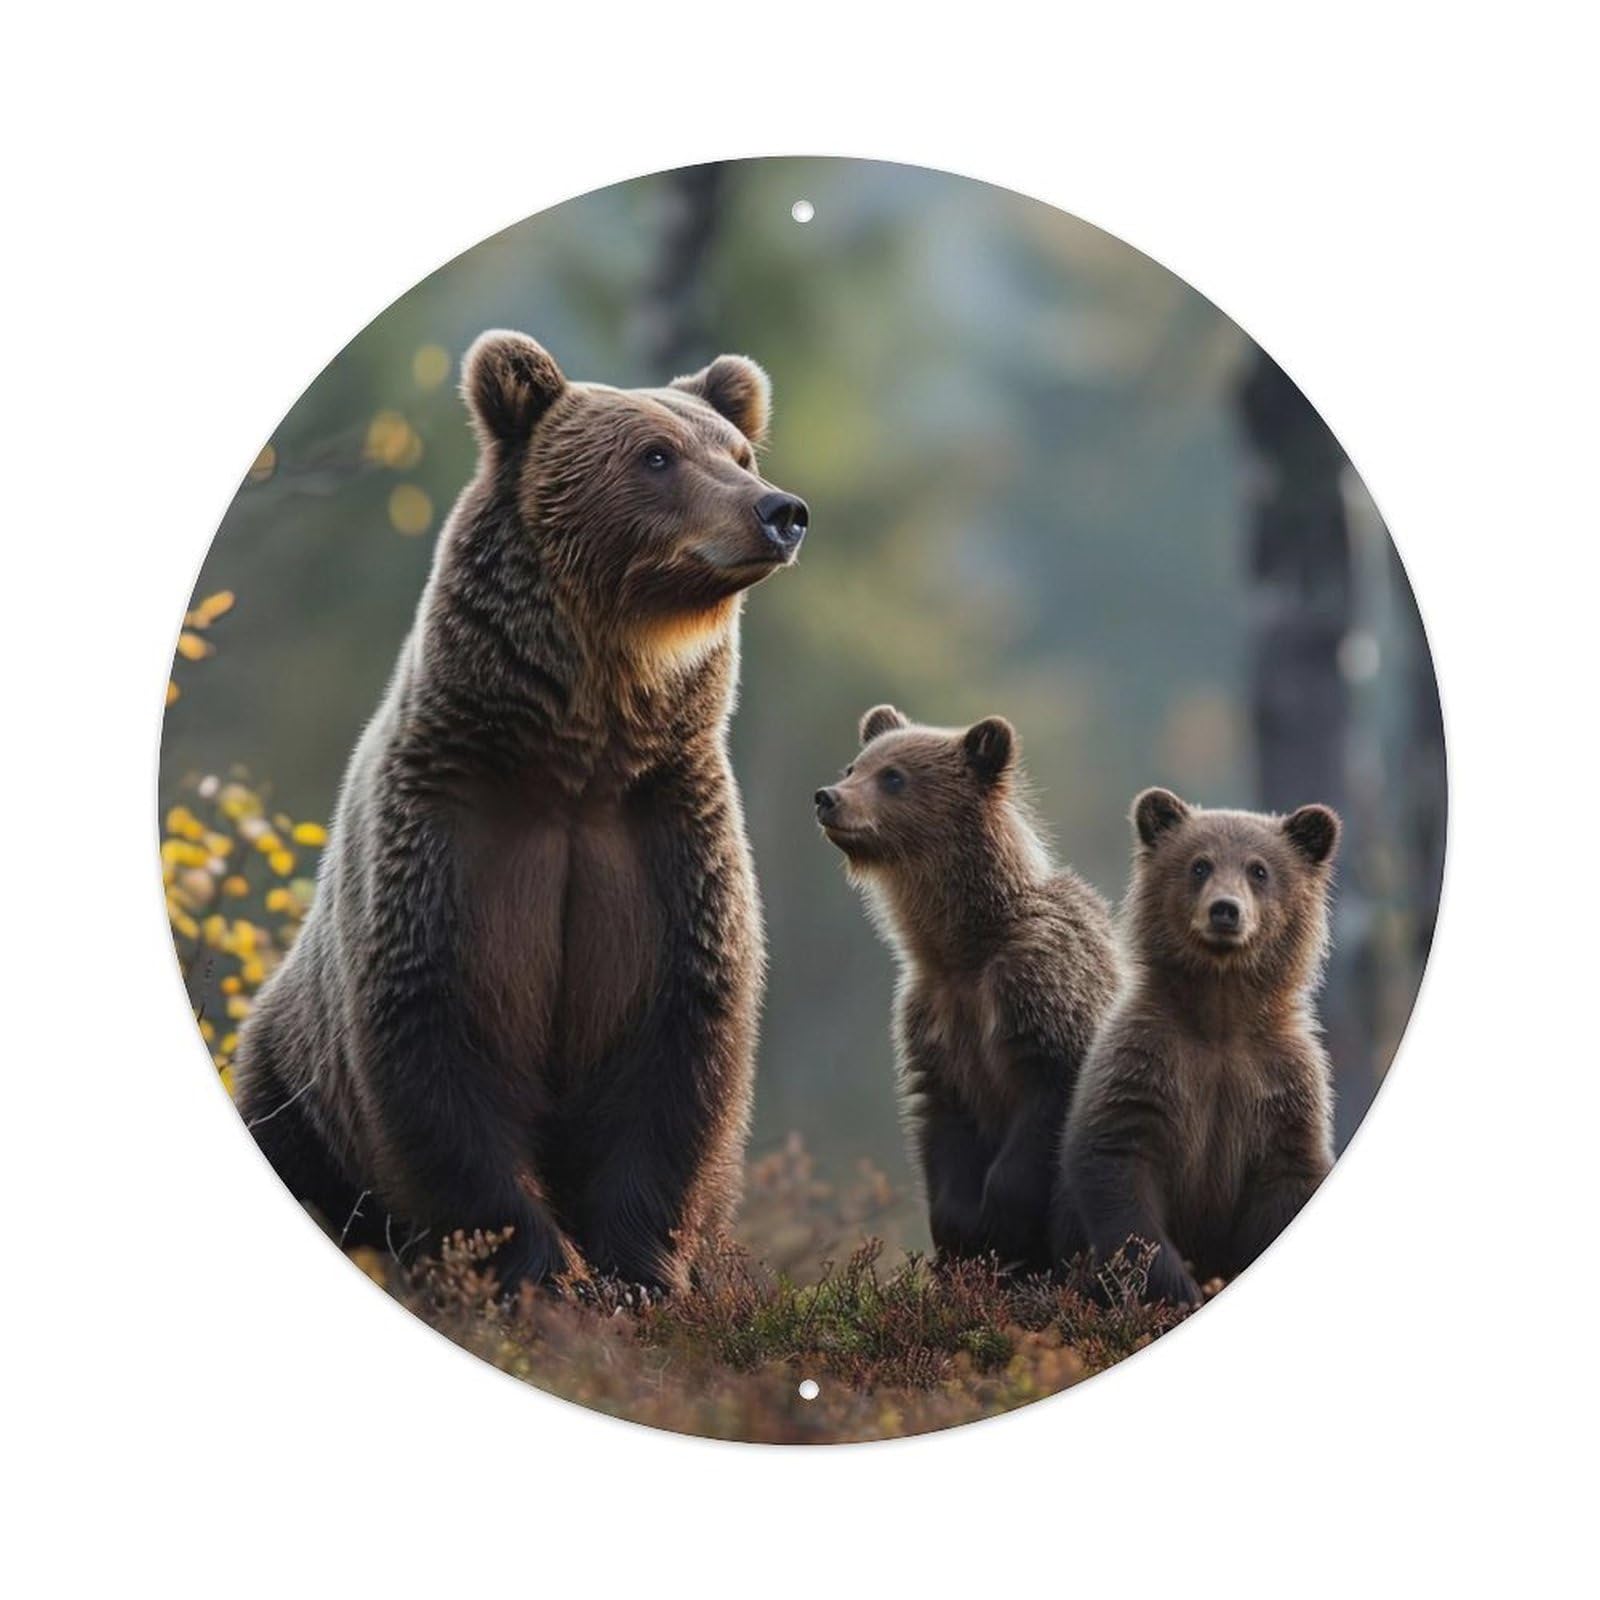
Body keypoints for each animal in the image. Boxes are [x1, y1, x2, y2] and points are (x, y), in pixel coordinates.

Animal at [233, 329, 809, 1293]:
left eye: (739, 453)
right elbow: (438, 1051)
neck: (579, 750)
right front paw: (537, 1268)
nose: (781, 511)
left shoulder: (666, 839)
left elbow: (675, 1055)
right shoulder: (448, 836)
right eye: (657, 455)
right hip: (287, 1076)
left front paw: (636, 1272)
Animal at [814, 705, 1119, 1273]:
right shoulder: (932, 1017)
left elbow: (1046, 1109)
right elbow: (943, 1127)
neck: (963, 945)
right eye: (853, 766)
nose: (827, 797)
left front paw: (1001, 1224)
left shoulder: (1041, 989)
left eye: (893, 777)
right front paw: (961, 1237)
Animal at [1052, 787, 1341, 1305]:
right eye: (1199, 864)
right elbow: (1119, 1170)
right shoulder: (1145, 1060)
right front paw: (1174, 1287)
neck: (1220, 1019)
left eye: (1259, 870)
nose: (1225, 909)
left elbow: (1288, 1181)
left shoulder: (1283, 1083)